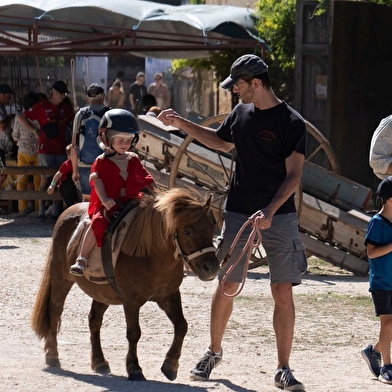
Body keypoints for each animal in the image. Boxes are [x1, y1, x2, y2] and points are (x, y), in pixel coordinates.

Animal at [30, 188, 220, 382]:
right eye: (187, 231)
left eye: (212, 227)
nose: (211, 267)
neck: (151, 252)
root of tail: (68, 211)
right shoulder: (131, 301)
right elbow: (134, 333)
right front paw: (134, 368)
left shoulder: (169, 296)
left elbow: (182, 326)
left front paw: (170, 365)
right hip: (61, 281)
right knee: (54, 313)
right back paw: (52, 355)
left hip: (102, 292)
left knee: (94, 321)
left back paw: (99, 361)